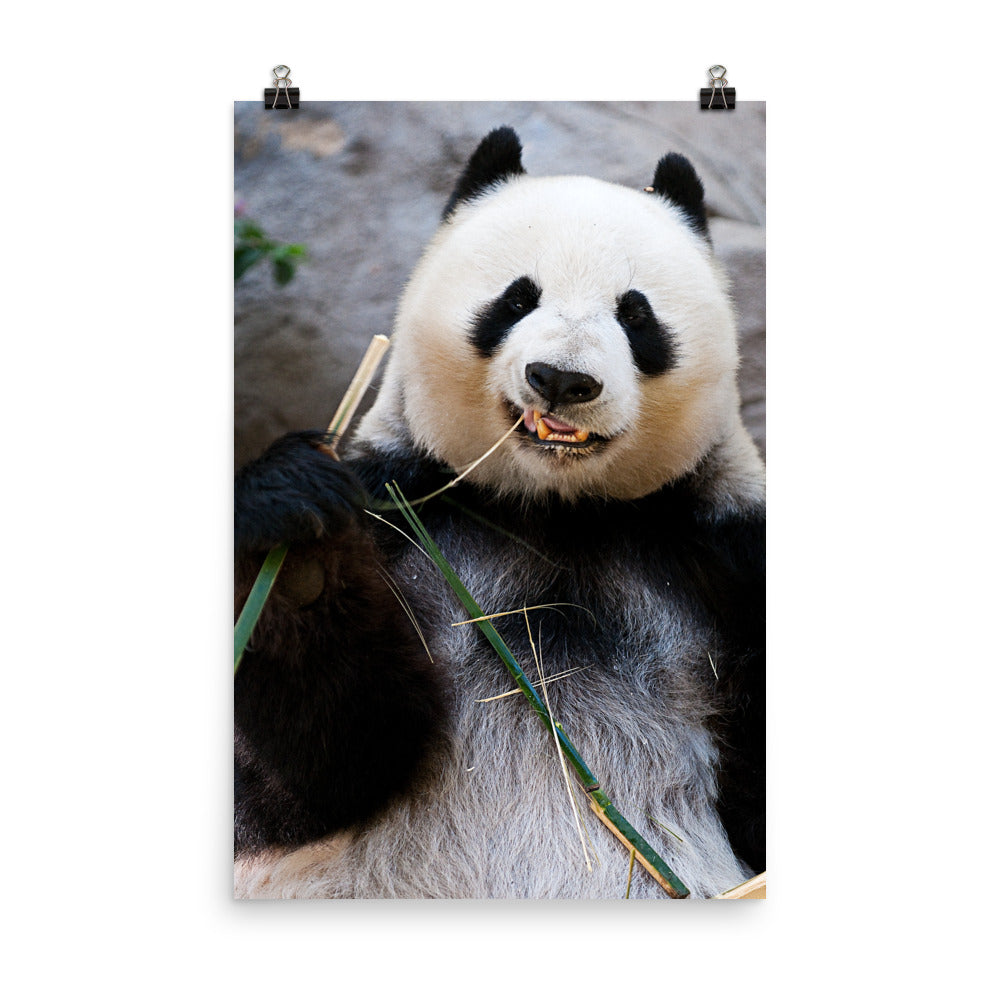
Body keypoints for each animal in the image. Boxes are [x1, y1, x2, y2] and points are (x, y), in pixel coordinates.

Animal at [234, 127, 765, 899]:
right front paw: (299, 552)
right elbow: (310, 778)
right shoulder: (404, 510)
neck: (553, 512)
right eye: (516, 300)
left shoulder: (722, 552)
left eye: (636, 315)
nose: (563, 378)